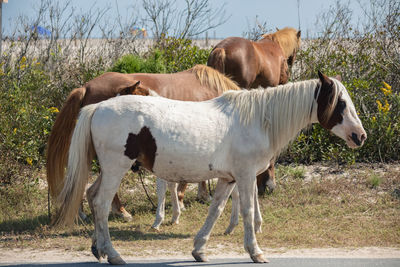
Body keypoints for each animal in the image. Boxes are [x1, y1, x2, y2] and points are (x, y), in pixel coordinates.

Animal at [54, 71, 366, 266]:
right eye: (340, 103)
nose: (360, 136)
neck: (258, 119)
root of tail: (98, 107)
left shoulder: (228, 179)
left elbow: (216, 211)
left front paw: (199, 249)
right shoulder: (245, 177)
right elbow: (248, 211)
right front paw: (255, 252)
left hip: (108, 171)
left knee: (91, 196)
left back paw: (98, 249)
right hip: (116, 170)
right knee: (101, 203)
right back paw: (114, 253)